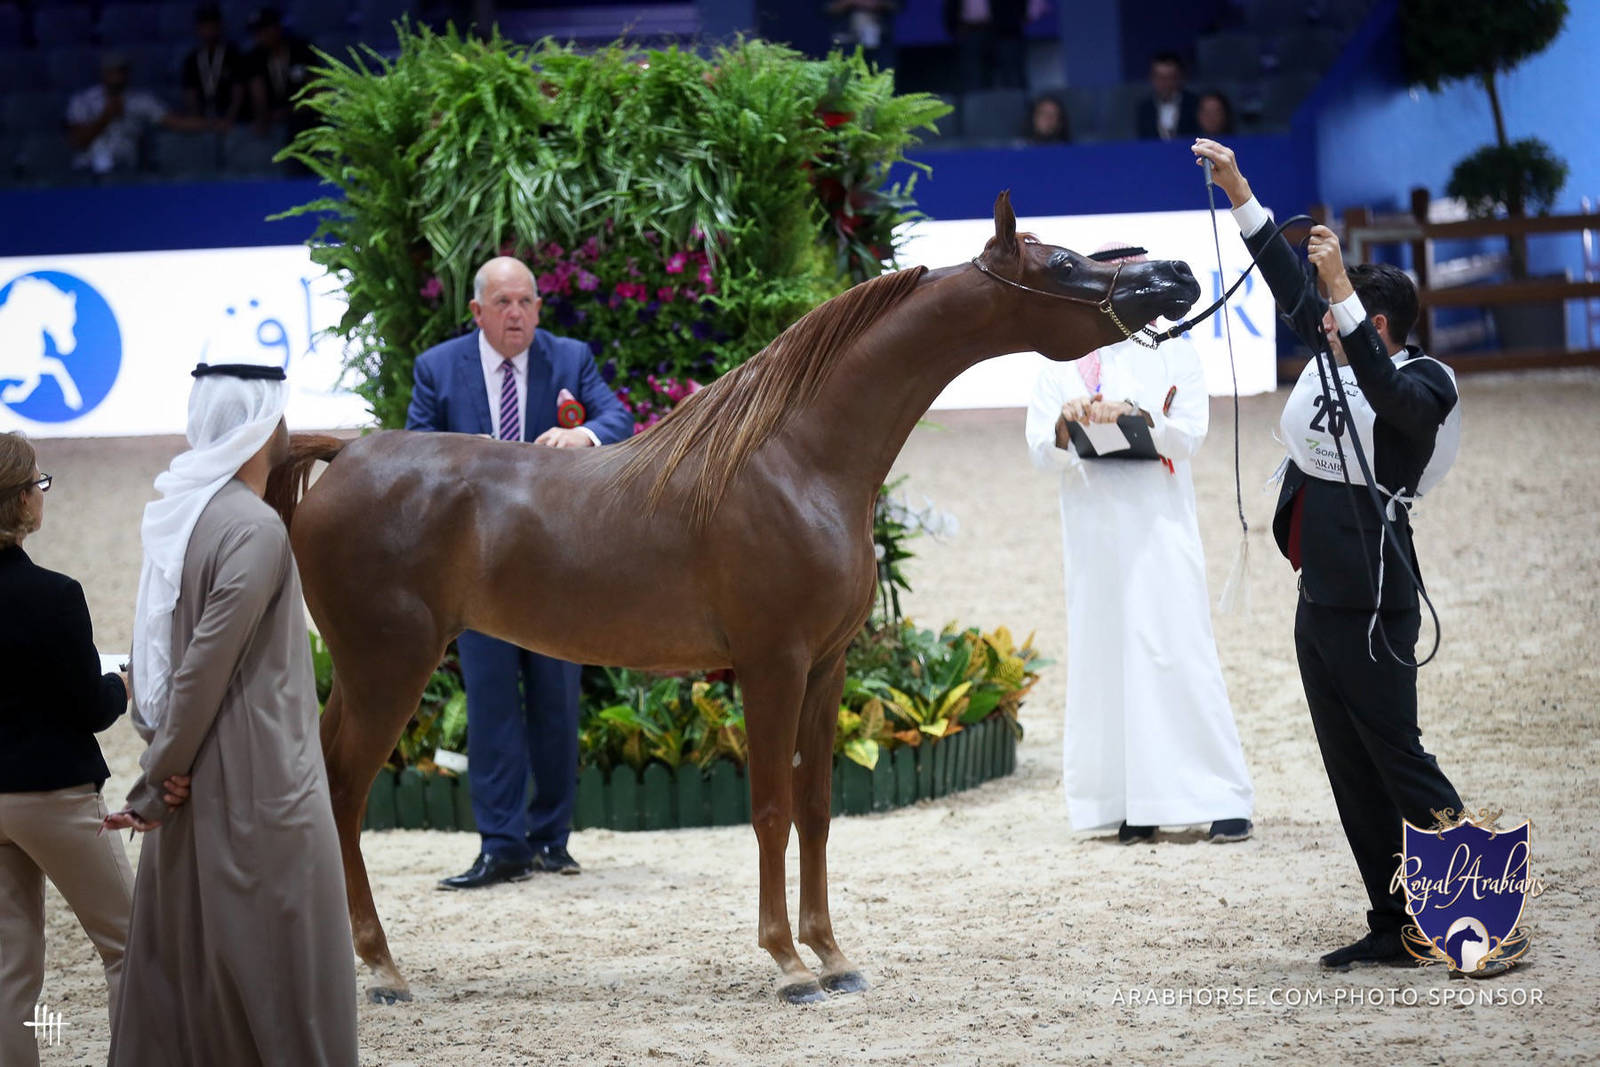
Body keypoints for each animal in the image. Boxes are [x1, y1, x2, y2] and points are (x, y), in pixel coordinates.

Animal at [0, 276, 83, 410]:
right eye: (58, 318)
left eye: (72, 320)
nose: (68, 347)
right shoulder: (14, 367)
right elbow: (36, 378)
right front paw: (12, 394)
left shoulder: (31, 363)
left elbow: (56, 366)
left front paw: (73, 399)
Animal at [266, 192, 1200, 1005]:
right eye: (1065, 263)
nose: (1180, 272)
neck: (797, 460)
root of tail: (343, 455)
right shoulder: (770, 664)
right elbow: (772, 808)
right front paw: (787, 962)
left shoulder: (826, 666)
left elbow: (817, 807)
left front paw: (833, 953)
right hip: (389, 667)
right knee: (343, 791)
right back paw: (382, 969)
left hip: (366, 672)